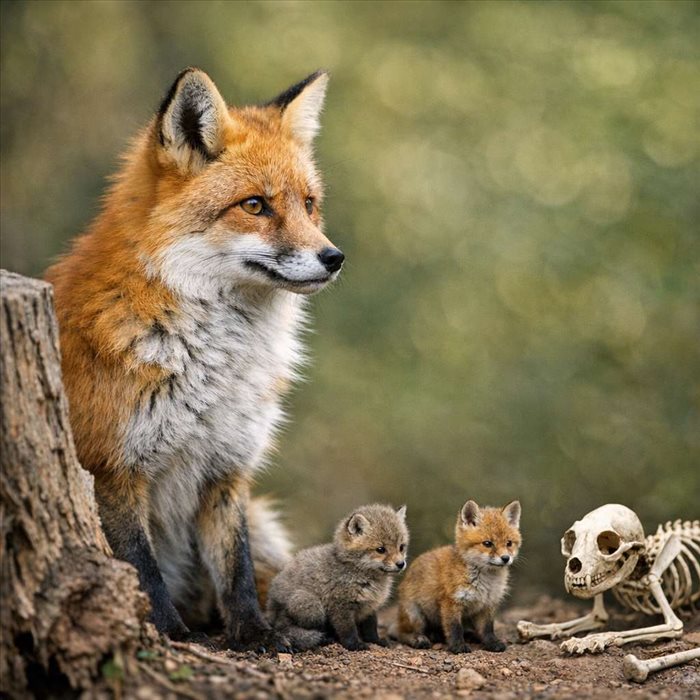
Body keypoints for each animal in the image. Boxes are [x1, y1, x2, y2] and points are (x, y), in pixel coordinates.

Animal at [44, 67, 344, 651]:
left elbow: (237, 569)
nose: (334, 258)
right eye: (255, 205)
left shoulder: (227, 469)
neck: (214, 366)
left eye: (309, 203)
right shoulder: (111, 468)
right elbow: (141, 567)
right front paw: (164, 633)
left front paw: (253, 634)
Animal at [267, 504, 409, 651]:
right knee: (290, 629)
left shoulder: (369, 606)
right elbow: (348, 631)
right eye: (381, 549)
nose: (401, 564)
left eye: (401, 547)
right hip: (311, 606)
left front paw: (376, 641)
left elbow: (371, 629)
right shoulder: (340, 606)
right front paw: (354, 645)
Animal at [395, 499, 521, 654]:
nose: (505, 558)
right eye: (487, 543)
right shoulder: (452, 602)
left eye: (509, 543)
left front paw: (492, 643)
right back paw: (419, 639)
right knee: (402, 633)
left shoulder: (488, 604)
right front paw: (458, 646)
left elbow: (487, 629)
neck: (486, 582)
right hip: (415, 616)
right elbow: (454, 628)